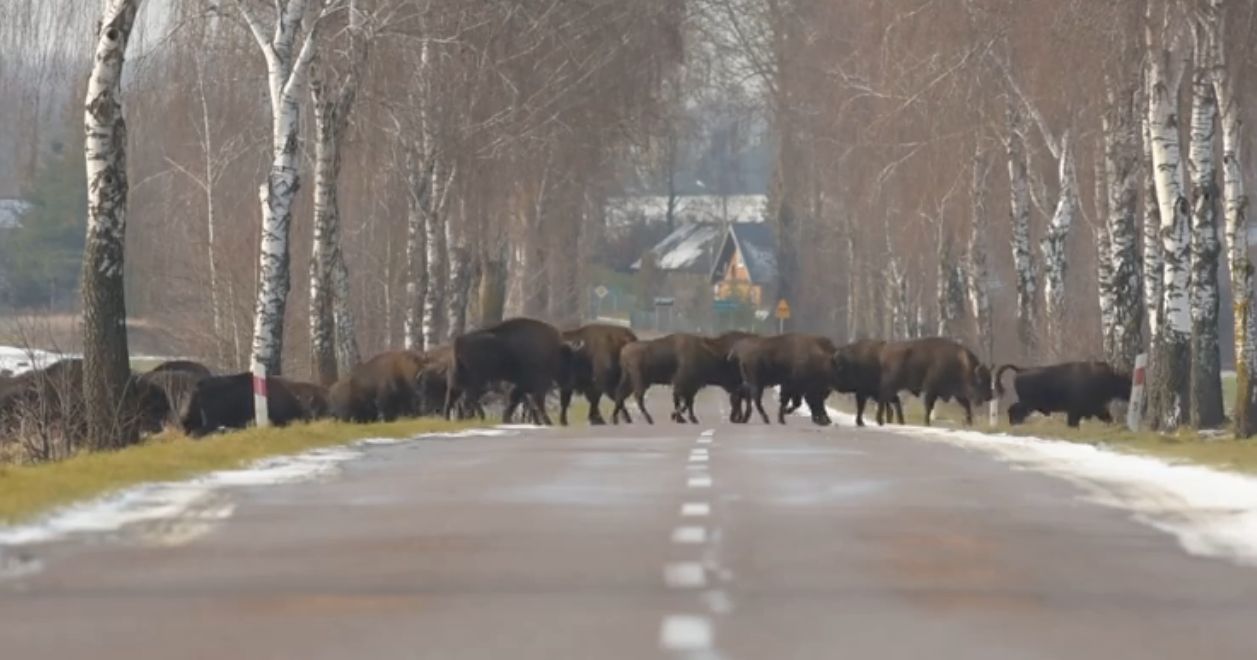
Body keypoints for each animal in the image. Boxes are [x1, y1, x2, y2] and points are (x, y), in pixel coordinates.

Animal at [447, 316, 575, 424]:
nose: (569, 383)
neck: (554, 352)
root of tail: (460, 340)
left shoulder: (523, 386)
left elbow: (516, 401)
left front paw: (507, 419)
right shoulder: (536, 385)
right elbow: (533, 402)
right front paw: (546, 422)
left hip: (463, 379)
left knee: (456, 397)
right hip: (477, 381)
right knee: (468, 398)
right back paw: (478, 417)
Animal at [995, 359, 1136, 427]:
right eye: (1127, 383)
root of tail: (1021, 370)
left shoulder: (1099, 409)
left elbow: (1108, 418)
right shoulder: (1075, 412)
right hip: (1028, 404)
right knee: (1014, 409)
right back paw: (1015, 423)